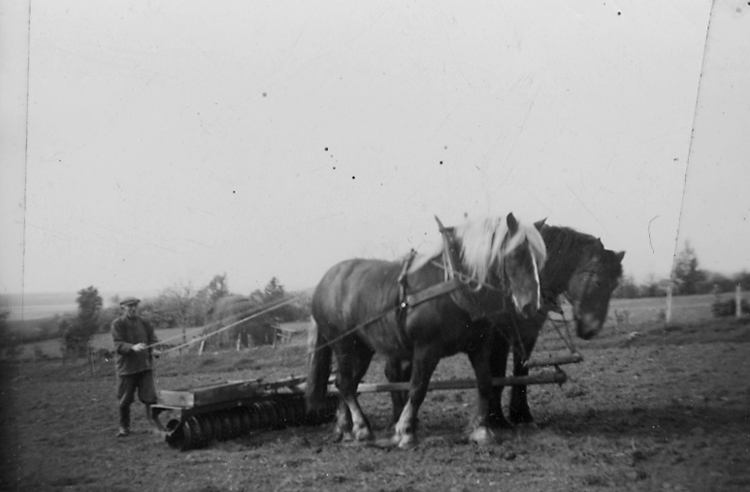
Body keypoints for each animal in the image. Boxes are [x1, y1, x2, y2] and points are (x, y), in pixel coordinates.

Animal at [304, 213, 548, 448]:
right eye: (516, 254)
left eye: (538, 257)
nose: (531, 305)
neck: (455, 287)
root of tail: (324, 282)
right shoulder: (426, 348)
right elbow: (418, 388)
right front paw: (405, 432)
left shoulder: (478, 346)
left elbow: (485, 383)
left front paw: (481, 431)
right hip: (343, 344)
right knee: (345, 384)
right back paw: (363, 429)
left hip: (362, 349)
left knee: (347, 383)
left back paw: (346, 429)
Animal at [384, 221, 624, 428]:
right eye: (598, 282)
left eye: (614, 286)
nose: (591, 329)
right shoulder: (497, 335)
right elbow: (497, 371)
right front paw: (496, 417)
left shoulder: (527, 334)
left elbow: (521, 371)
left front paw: (522, 415)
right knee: (393, 373)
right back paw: (398, 417)